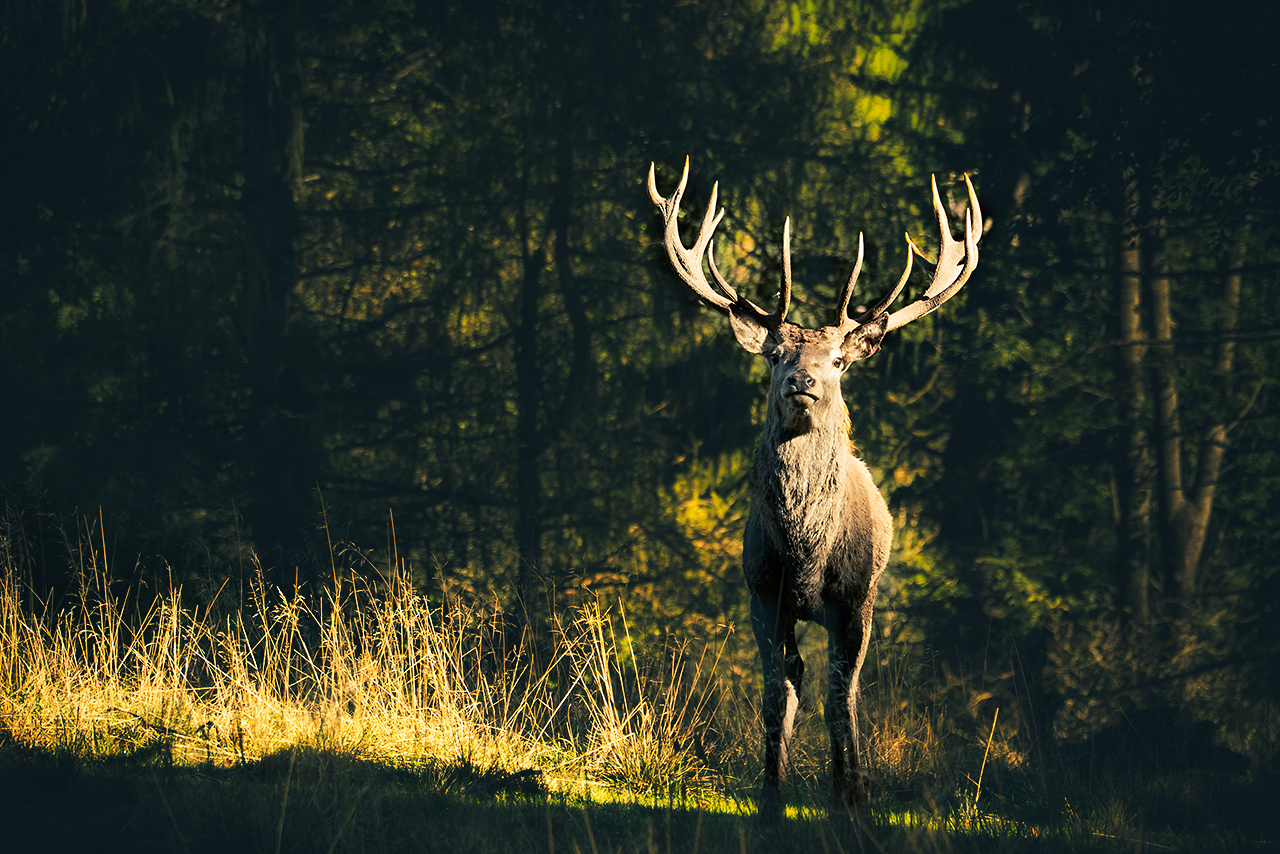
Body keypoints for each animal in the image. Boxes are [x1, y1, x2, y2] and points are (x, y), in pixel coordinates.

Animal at [650, 160, 977, 819]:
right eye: (776, 353)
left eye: (839, 360)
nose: (802, 381)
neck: (804, 553)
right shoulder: (761, 592)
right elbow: (777, 693)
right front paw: (771, 795)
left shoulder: (854, 600)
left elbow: (840, 695)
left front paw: (849, 793)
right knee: (797, 677)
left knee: (839, 688)